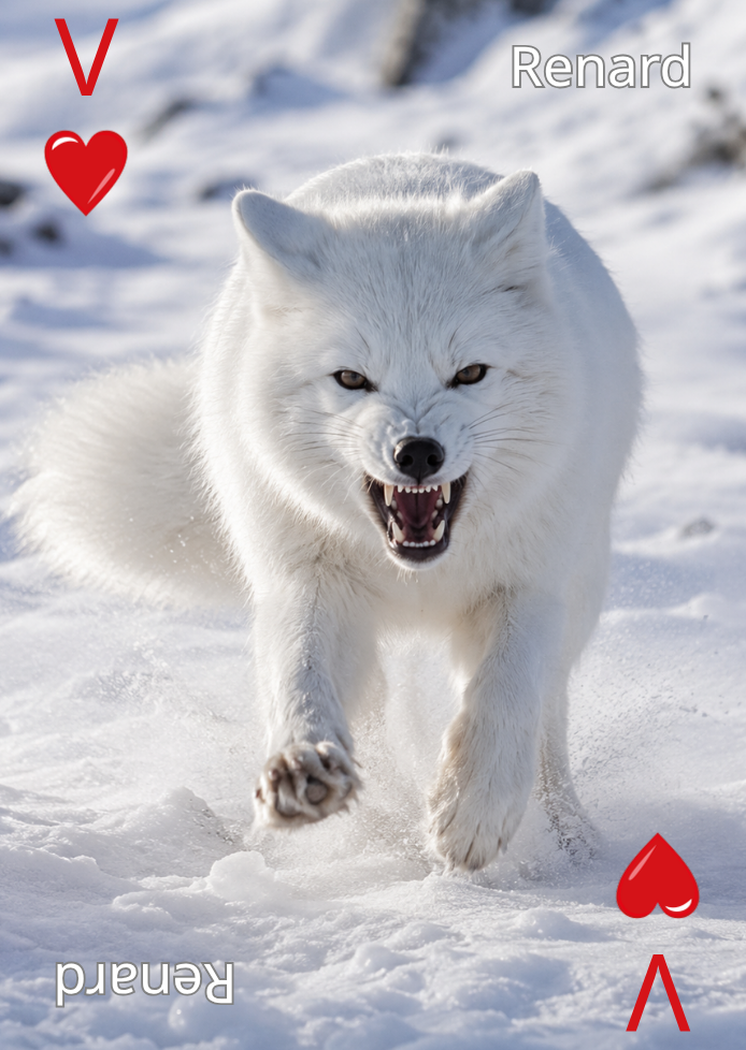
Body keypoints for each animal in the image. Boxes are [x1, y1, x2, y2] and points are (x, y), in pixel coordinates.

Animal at [13, 153, 641, 870]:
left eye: (470, 373)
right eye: (351, 379)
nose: (417, 452)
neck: (420, 573)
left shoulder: (528, 587)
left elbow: (504, 694)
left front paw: (474, 810)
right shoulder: (310, 583)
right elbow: (300, 677)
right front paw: (302, 769)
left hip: (579, 591)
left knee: (546, 719)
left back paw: (569, 835)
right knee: (373, 710)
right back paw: (370, 823)